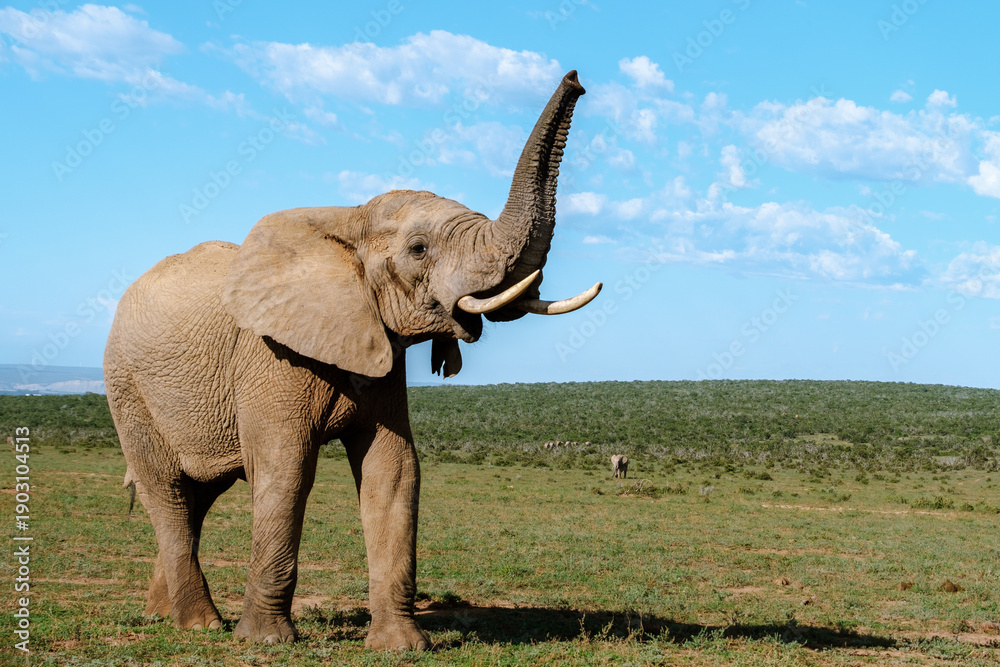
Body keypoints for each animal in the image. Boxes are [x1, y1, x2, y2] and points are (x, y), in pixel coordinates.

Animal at [103, 71, 597, 650]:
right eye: (419, 249)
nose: (576, 79)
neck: (348, 218)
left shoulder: (378, 346)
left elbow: (395, 471)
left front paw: (402, 647)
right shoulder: (270, 356)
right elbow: (285, 470)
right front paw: (265, 641)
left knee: (196, 496)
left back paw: (163, 615)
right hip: (127, 388)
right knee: (168, 493)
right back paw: (199, 624)